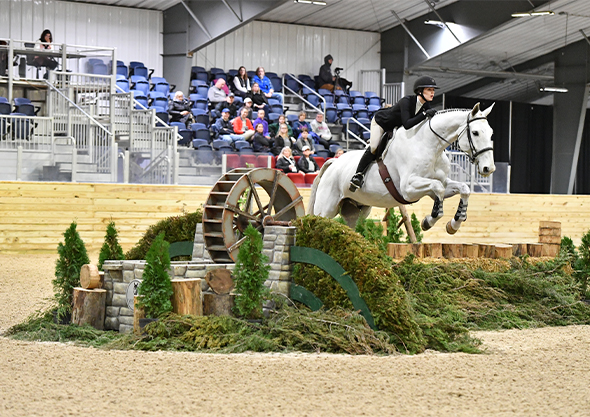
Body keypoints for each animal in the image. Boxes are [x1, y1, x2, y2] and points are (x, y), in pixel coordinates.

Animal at [310, 102, 500, 232]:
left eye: (491, 133)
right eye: (475, 132)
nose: (488, 169)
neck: (430, 146)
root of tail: (333, 162)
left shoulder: (439, 186)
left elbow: (463, 188)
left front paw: (454, 224)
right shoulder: (408, 188)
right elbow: (437, 189)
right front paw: (428, 222)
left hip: (356, 211)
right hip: (326, 208)